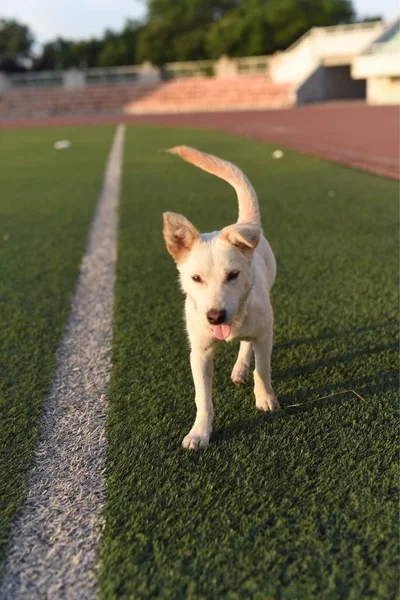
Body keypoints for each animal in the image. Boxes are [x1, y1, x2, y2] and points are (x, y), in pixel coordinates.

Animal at [162, 146, 282, 450]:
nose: (215, 316)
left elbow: (263, 370)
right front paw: (199, 433)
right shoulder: (200, 352)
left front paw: (265, 398)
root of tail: (243, 222)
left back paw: (241, 369)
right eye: (196, 278)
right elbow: (202, 398)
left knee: (248, 346)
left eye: (233, 275)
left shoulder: (264, 335)